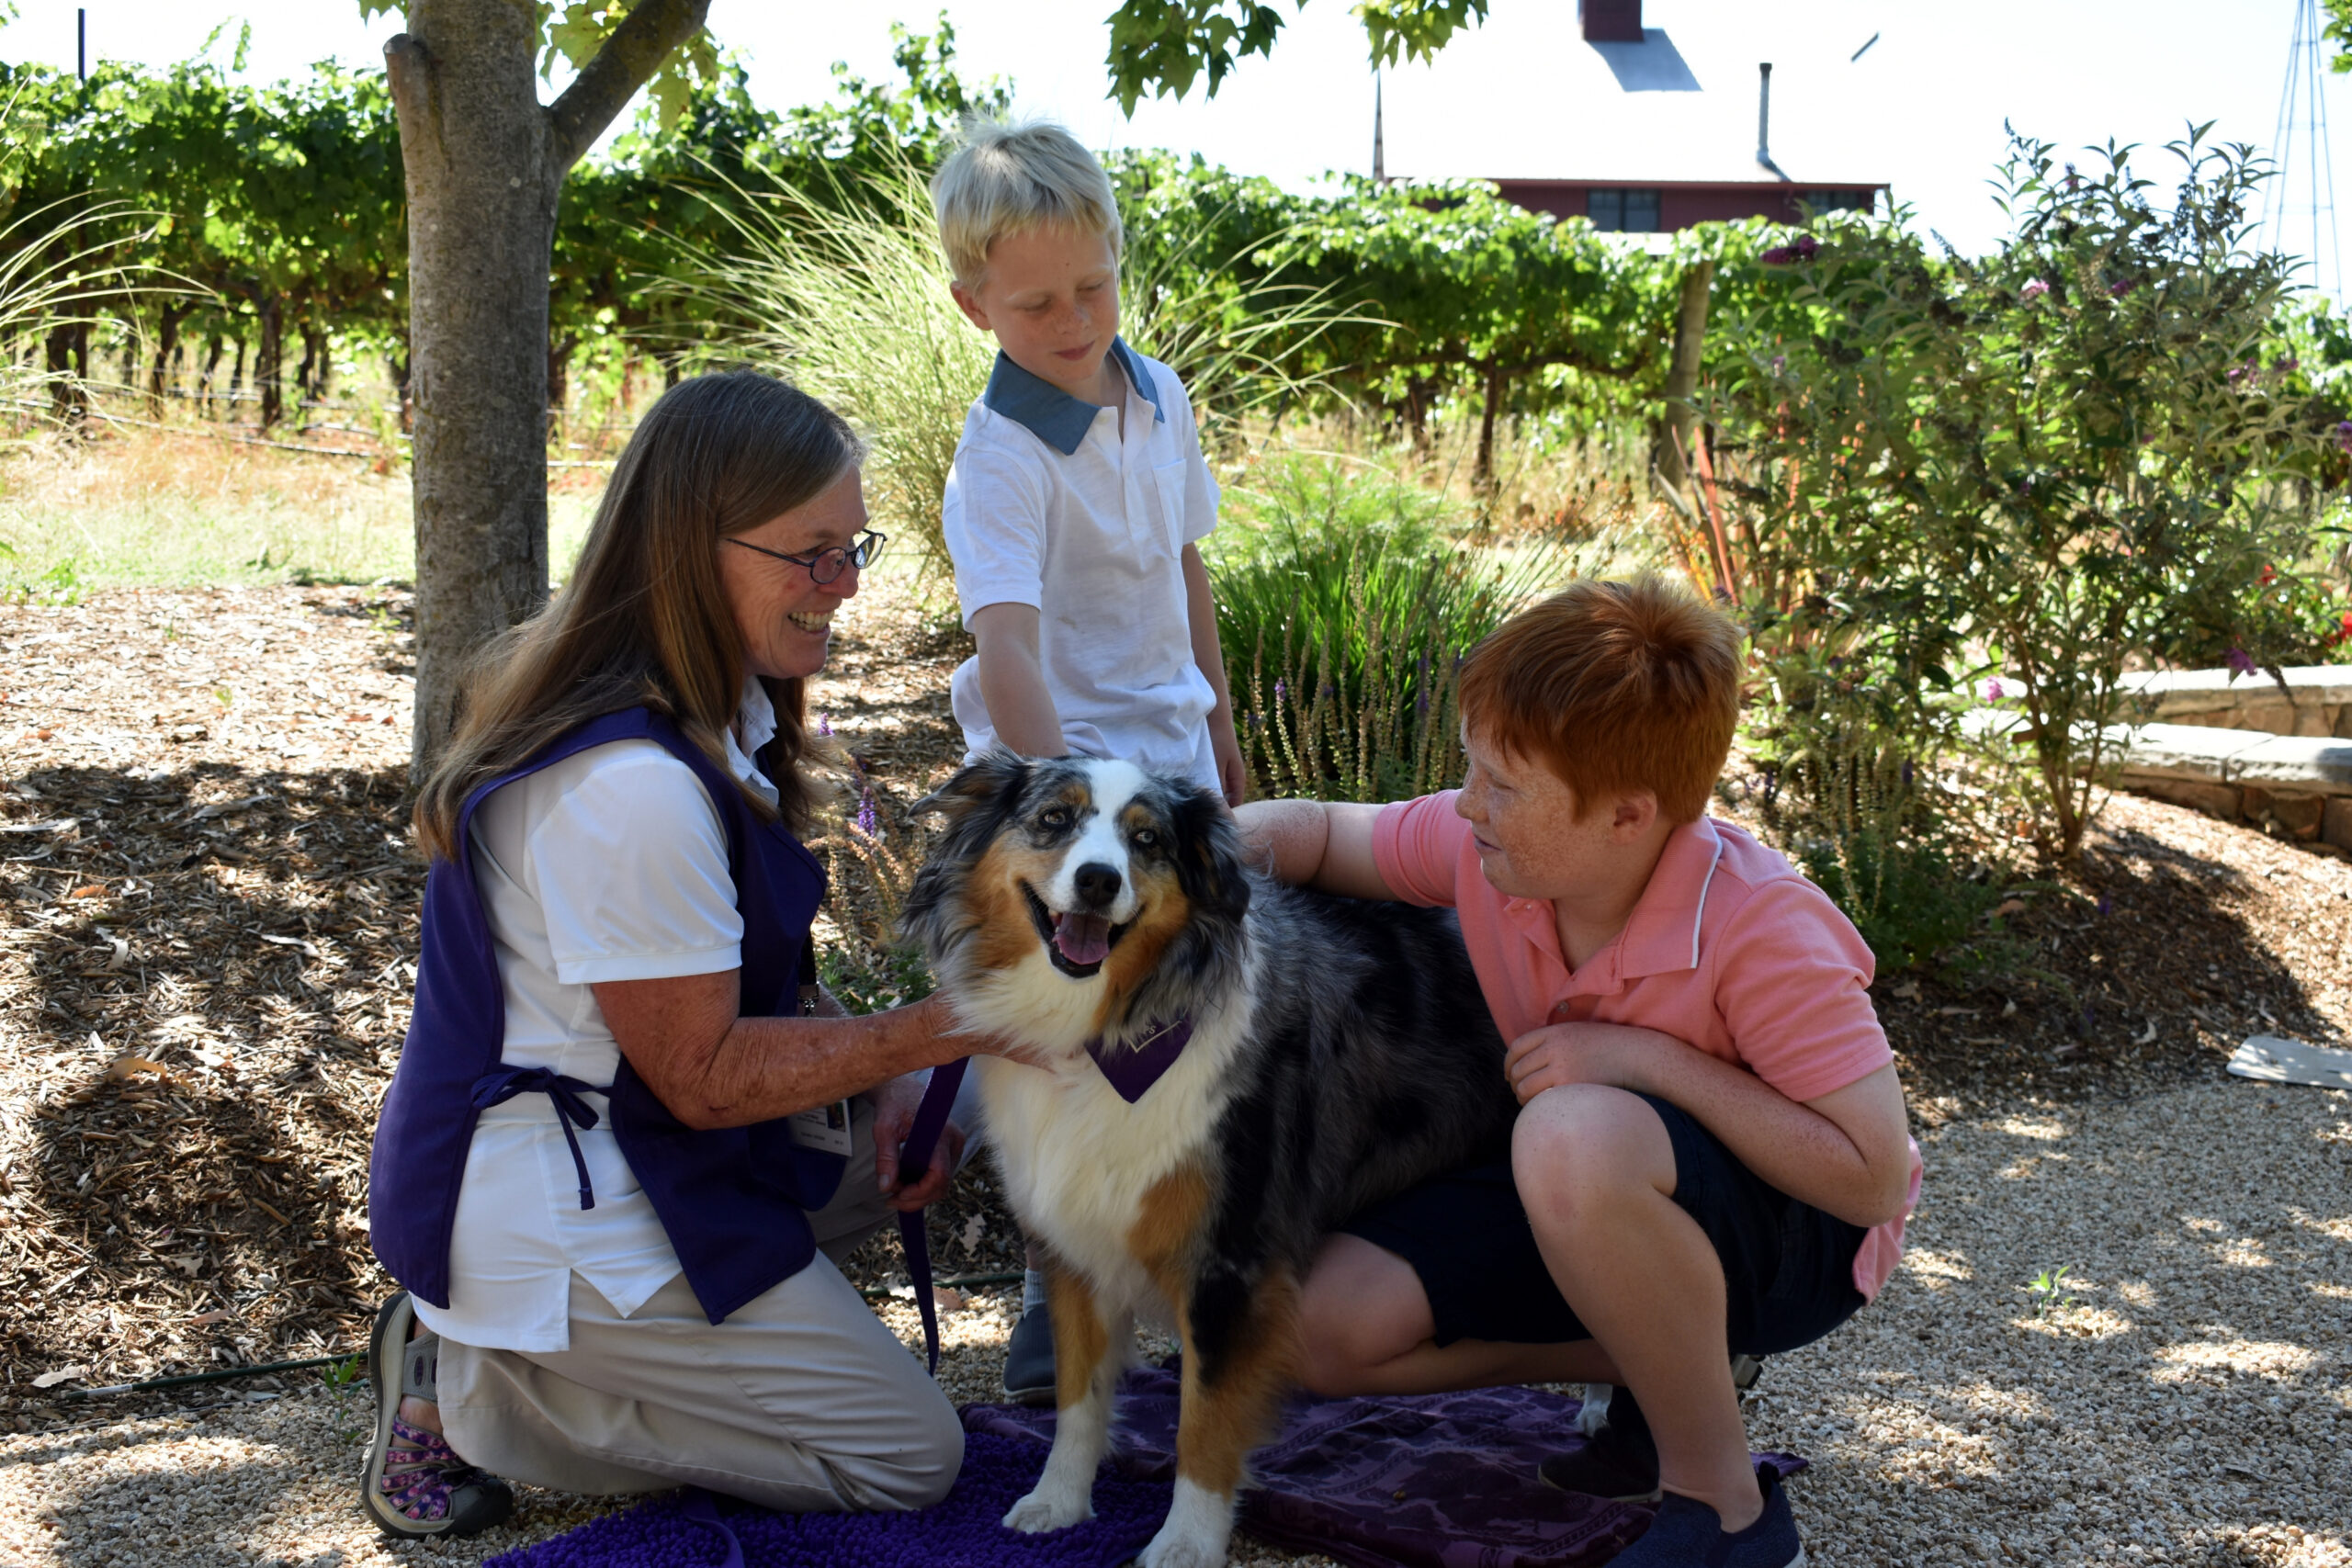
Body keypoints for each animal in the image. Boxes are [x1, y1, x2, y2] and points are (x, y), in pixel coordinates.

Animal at [908, 751, 1514, 1568]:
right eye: (1054, 819)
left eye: (1148, 840)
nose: (1097, 881)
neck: (1102, 1036)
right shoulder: (1074, 1245)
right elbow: (1076, 1396)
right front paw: (1059, 1500)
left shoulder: (1229, 1260)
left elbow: (1205, 1414)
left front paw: (1185, 1542)